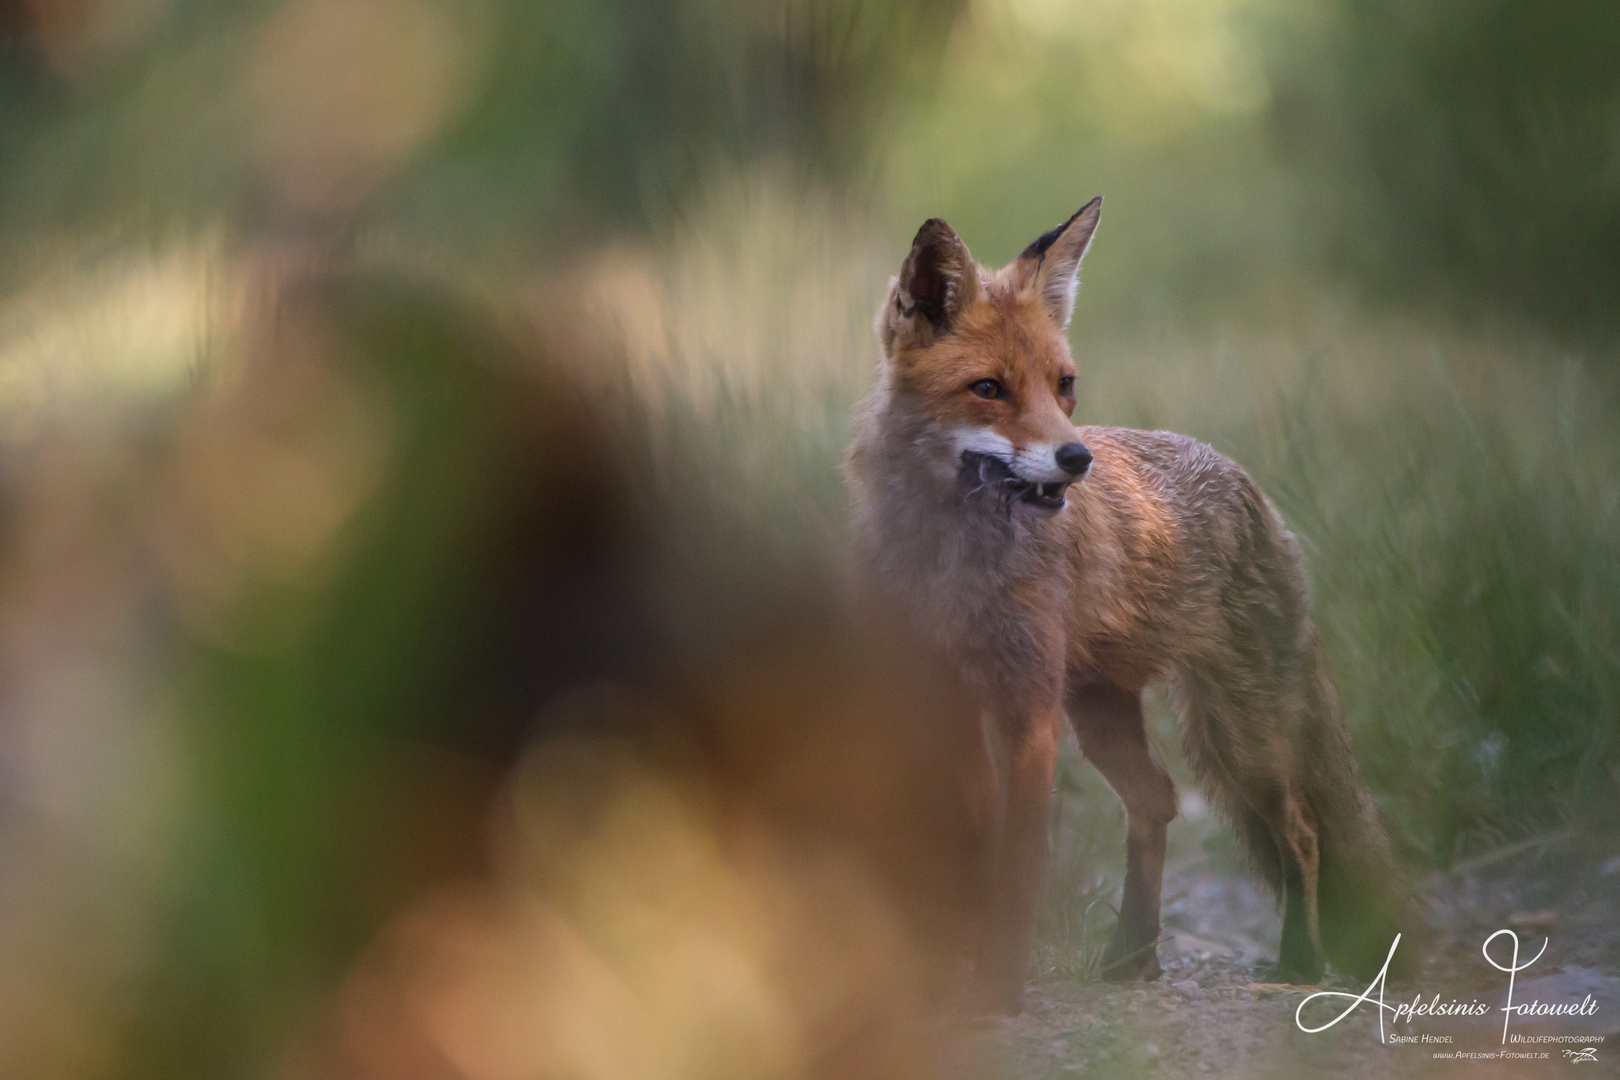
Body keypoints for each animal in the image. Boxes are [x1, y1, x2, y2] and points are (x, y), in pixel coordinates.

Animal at [848, 196, 1419, 1016]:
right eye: (989, 388)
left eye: (1064, 384)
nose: (1076, 458)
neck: (949, 562)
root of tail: (1251, 487)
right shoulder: (939, 701)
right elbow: (969, 846)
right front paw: (946, 970)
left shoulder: (1028, 714)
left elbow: (1016, 871)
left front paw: (1001, 985)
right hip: (1104, 715)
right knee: (1158, 801)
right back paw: (1134, 954)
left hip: (1243, 737)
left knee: (1302, 831)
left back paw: (1299, 961)